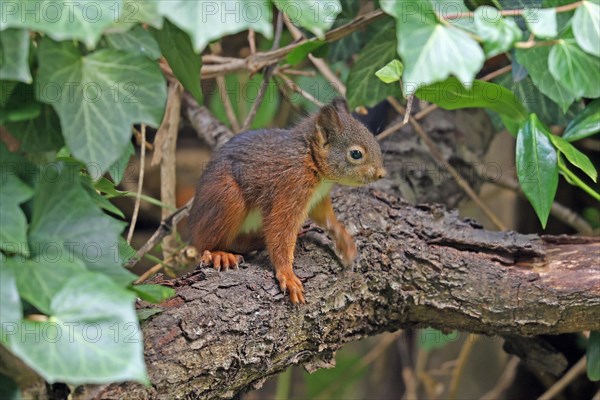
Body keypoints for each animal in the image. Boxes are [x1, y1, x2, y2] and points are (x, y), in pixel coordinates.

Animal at [189, 99, 384, 304]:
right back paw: (218, 254)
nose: (381, 174)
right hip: (227, 199)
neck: (309, 157)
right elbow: (280, 228)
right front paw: (287, 274)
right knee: (206, 244)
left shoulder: (317, 198)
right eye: (356, 154)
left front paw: (345, 241)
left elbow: (327, 219)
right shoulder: (291, 186)